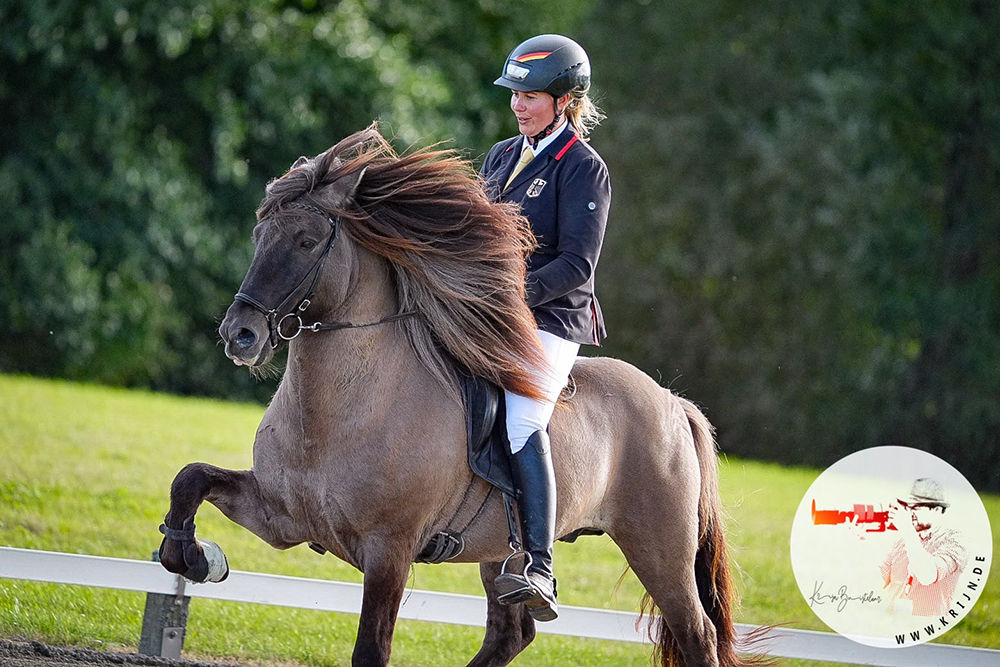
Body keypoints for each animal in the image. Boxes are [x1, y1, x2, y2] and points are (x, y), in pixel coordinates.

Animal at [156, 126, 768, 667]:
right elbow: (191, 477)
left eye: (306, 241)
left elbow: (370, 650)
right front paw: (189, 555)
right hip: (504, 556)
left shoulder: (389, 551)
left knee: (696, 635)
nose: (240, 334)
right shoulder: (282, 516)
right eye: (259, 236)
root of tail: (670, 402)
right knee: (511, 633)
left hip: (658, 549)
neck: (340, 413)